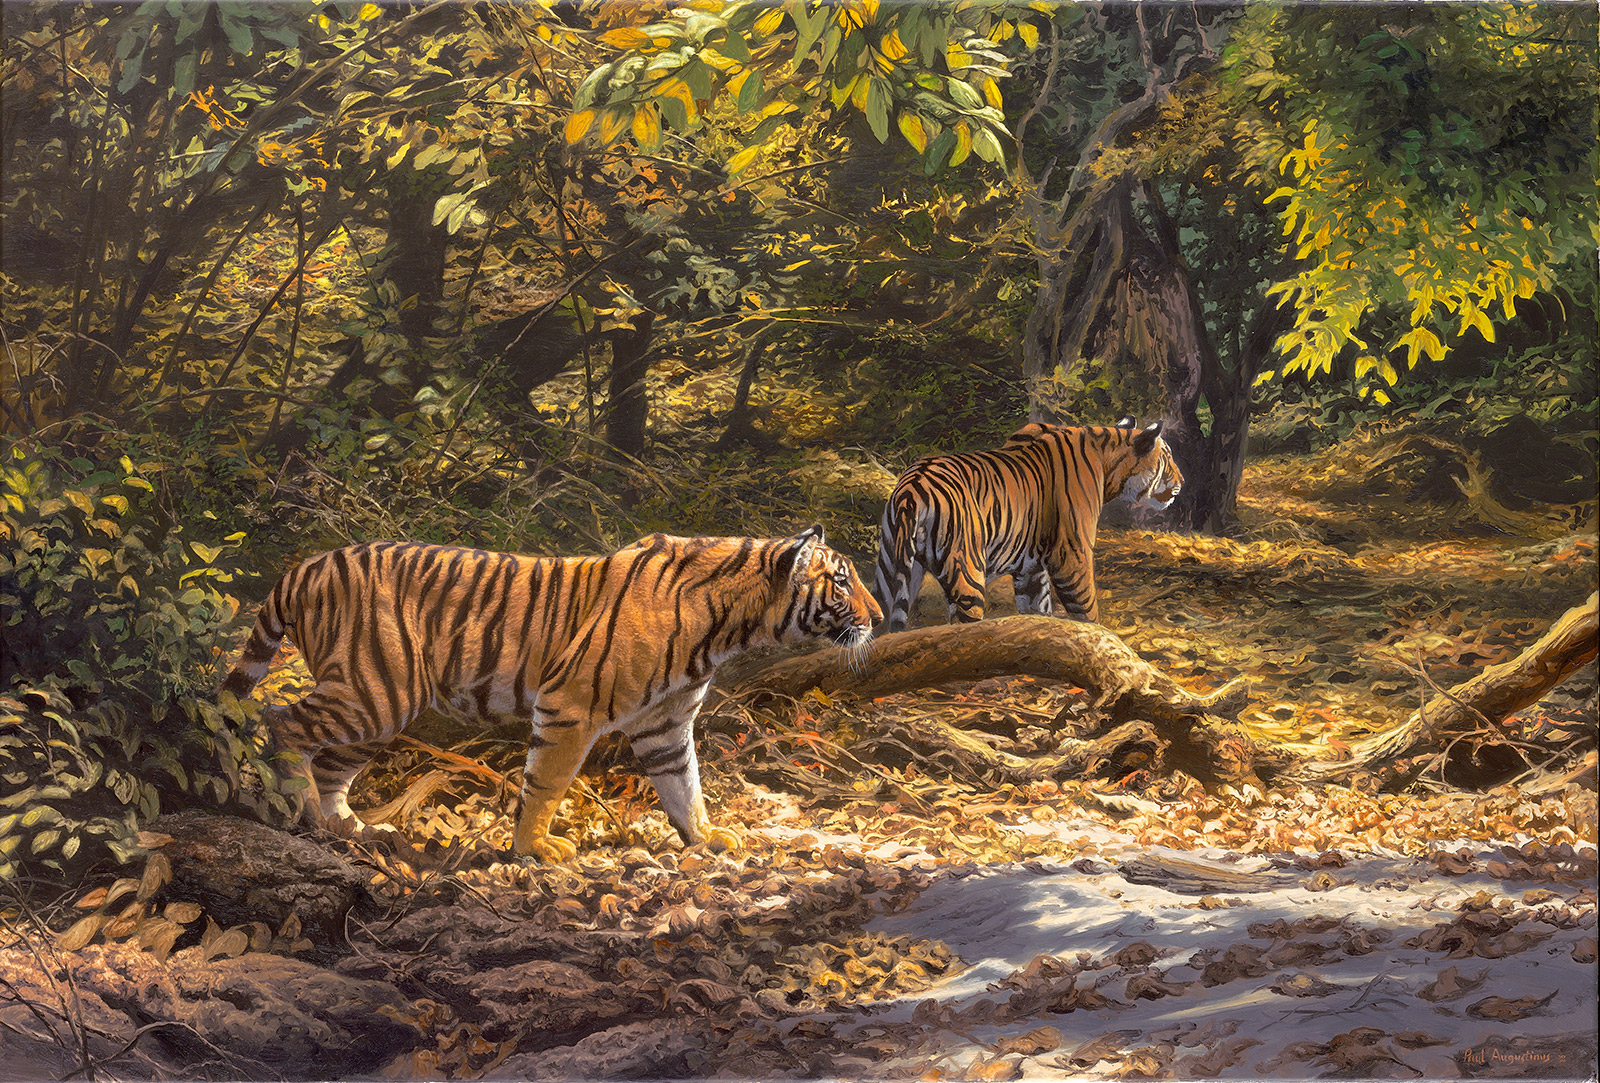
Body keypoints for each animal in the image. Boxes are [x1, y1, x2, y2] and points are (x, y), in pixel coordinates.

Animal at [221, 526, 881, 862]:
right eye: (841, 581)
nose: (878, 618)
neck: (728, 627)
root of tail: (302, 567)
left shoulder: (665, 724)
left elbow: (684, 786)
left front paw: (706, 837)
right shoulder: (570, 707)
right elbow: (546, 784)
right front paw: (537, 848)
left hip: (380, 703)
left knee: (330, 763)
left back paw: (350, 830)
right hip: (375, 691)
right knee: (281, 723)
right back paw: (301, 815)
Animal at [874, 417, 1182, 632]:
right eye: (1168, 457)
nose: (1182, 481)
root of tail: (912, 486)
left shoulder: (1030, 569)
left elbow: (1038, 612)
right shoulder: (1073, 555)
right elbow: (1087, 610)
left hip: (889, 575)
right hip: (967, 573)